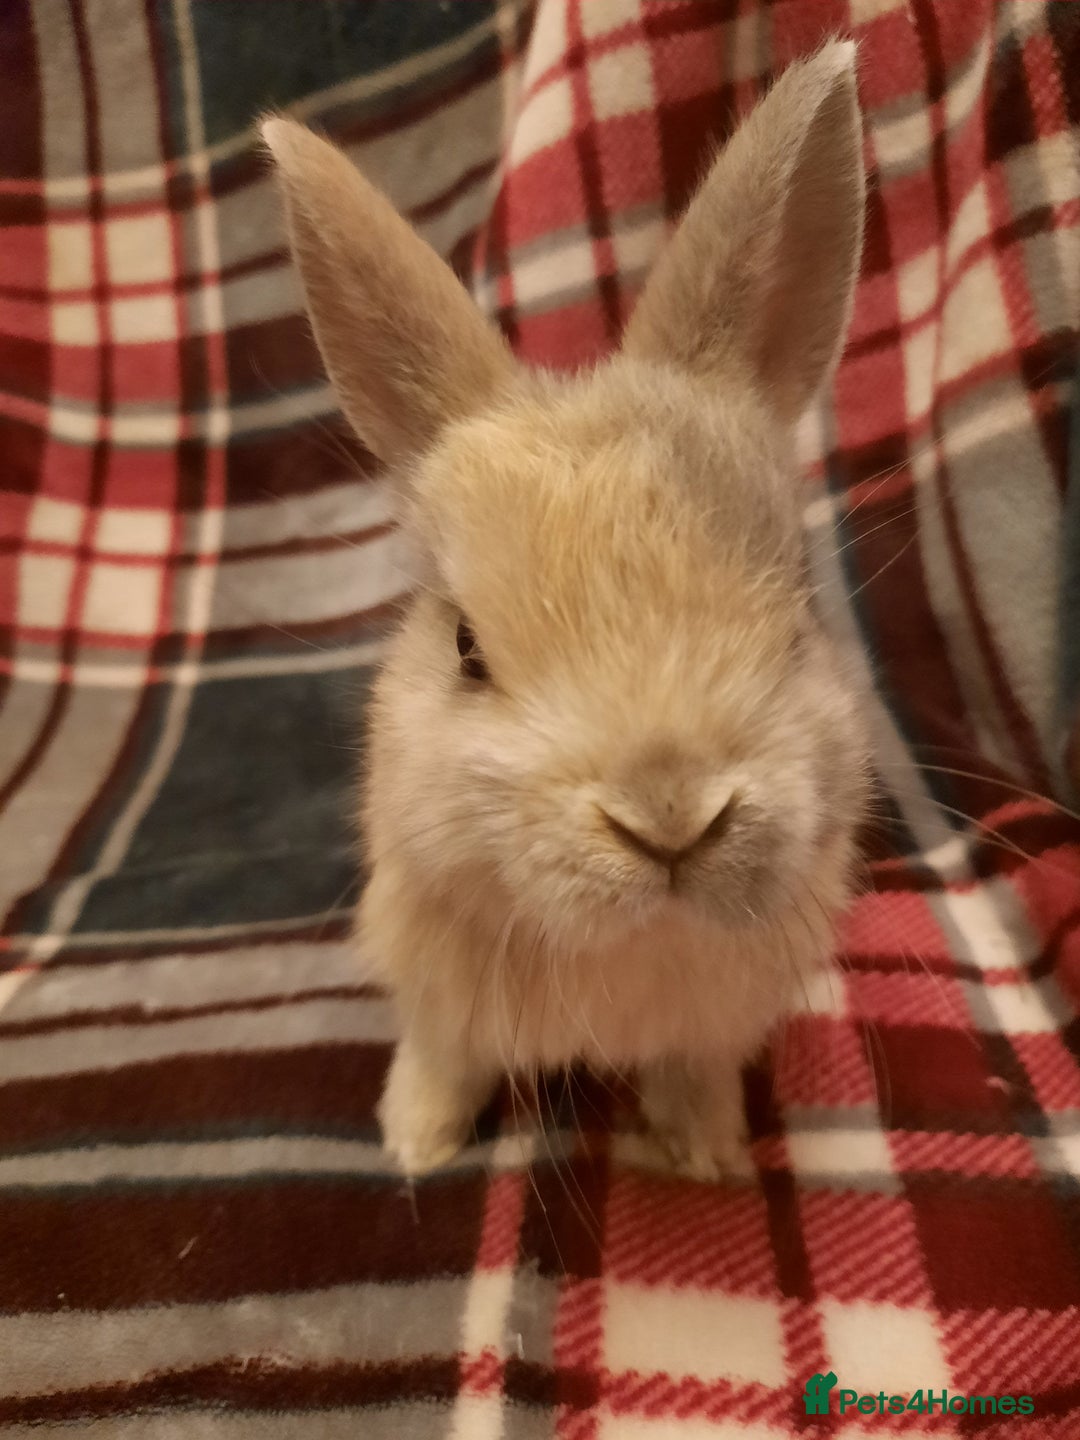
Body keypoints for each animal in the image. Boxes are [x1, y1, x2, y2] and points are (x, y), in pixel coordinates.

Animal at [262, 38, 870, 1182]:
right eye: (467, 649)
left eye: (797, 607)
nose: (669, 814)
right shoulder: (434, 984)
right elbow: (443, 1056)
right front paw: (414, 1145)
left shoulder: (709, 1024)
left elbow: (691, 1070)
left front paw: (708, 1157)